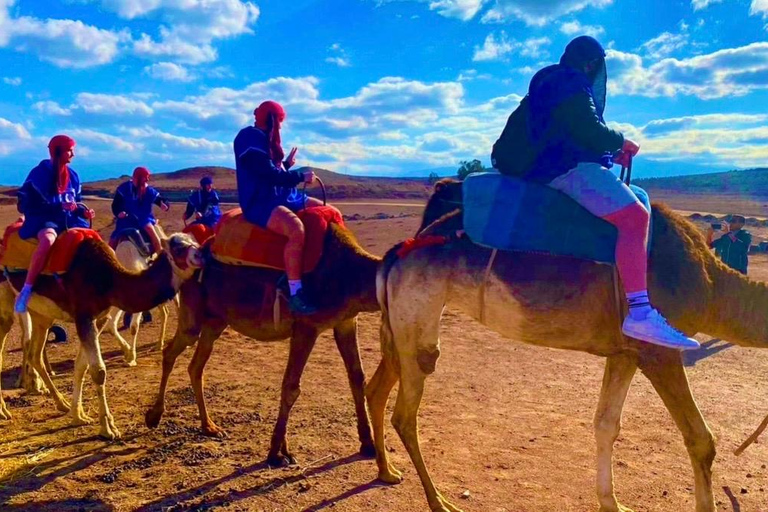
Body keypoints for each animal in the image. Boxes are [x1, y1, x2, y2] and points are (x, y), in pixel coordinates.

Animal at [0, 233, 201, 439]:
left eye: (194, 241)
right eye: (178, 248)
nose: (201, 255)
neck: (108, 278)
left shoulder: (99, 318)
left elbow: (81, 366)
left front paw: (78, 415)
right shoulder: (83, 316)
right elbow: (99, 371)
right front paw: (107, 428)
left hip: (41, 315)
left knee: (35, 353)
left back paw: (61, 403)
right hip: (6, 304)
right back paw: (4, 411)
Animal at [145, 220, 381, 466]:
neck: (348, 273)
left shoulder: (346, 321)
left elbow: (357, 378)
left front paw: (368, 444)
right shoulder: (306, 326)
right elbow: (291, 387)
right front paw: (276, 453)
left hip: (215, 321)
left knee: (196, 366)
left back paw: (209, 427)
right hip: (193, 313)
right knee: (171, 351)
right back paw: (154, 416)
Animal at [365, 178, 768, 512]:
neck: (712, 287)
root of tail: (397, 252)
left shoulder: (625, 352)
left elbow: (606, 424)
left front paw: (612, 503)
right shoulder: (660, 350)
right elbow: (701, 439)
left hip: (401, 321)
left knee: (379, 387)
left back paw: (389, 471)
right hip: (417, 312)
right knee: (406, 411)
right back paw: (440, 501)